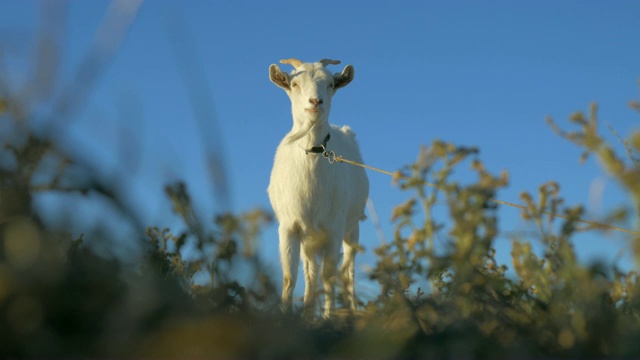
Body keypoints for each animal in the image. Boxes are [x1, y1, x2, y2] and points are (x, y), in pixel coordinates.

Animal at [268, 57, 370, 318]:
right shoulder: (289, 227)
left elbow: (329, 276)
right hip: (310, 238)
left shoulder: (333, 228)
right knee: (310, 271)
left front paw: (328, 316)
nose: (315, 102)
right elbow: (290, 277)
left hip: (351, 228)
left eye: (331, 84)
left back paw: (352, 307)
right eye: (294, 83)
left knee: (348, 270)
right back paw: (307, 310)